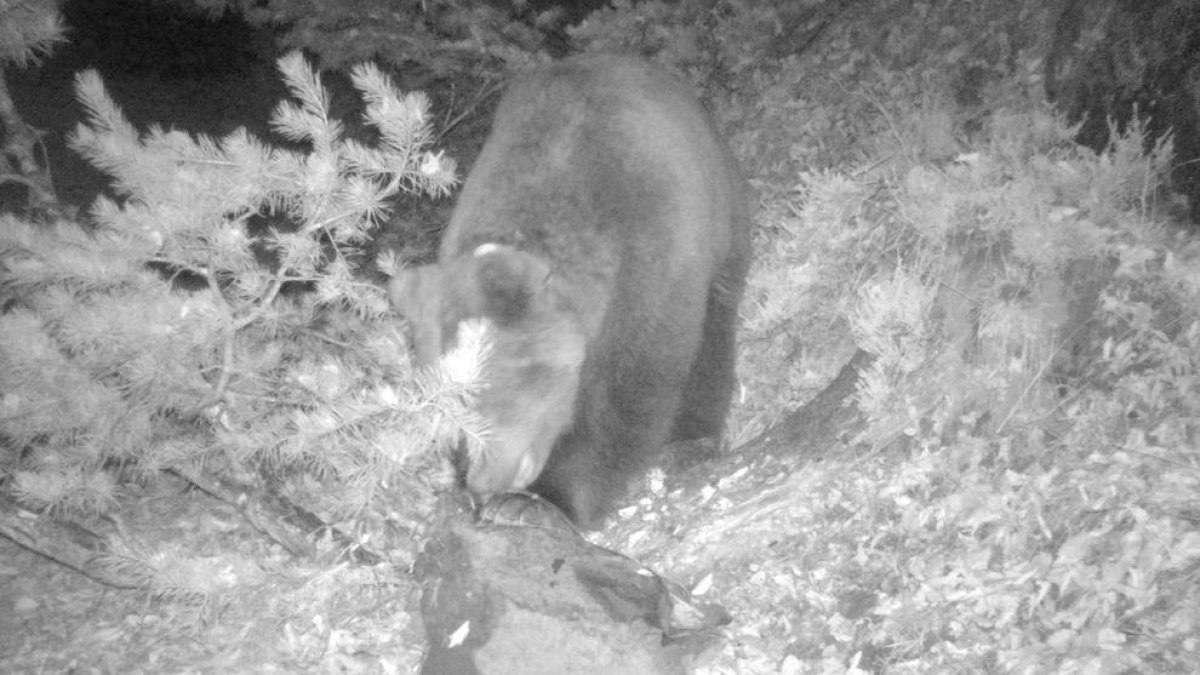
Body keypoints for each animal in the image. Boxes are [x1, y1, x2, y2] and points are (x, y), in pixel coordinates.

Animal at [391, 53, 748, 526]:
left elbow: (630, 389)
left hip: (721, 204)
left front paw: (554, 494)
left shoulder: (652, 256)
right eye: (447, 406)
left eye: (484, 389)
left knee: (716, 325)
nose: (483, 480)